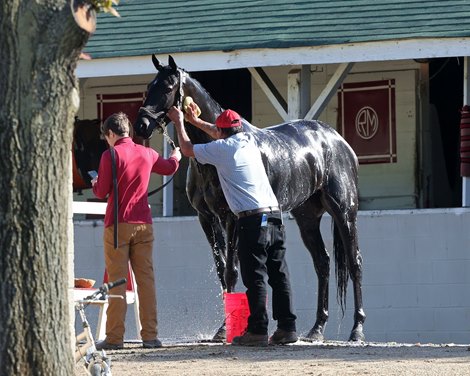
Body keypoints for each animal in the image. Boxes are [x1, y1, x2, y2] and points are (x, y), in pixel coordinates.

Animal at [134, 56, 366, 344]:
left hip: (345, 213)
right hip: (307, 218)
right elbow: (222, 269)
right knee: (322, 263)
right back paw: (316, 329)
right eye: (147, 87)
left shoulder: (231, 217)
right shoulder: (206, 218)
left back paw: (357, 330)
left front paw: (225, 329)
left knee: (355, 263)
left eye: (167, 88)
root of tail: (336, 140)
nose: (141, 125)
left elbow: (232, 270)